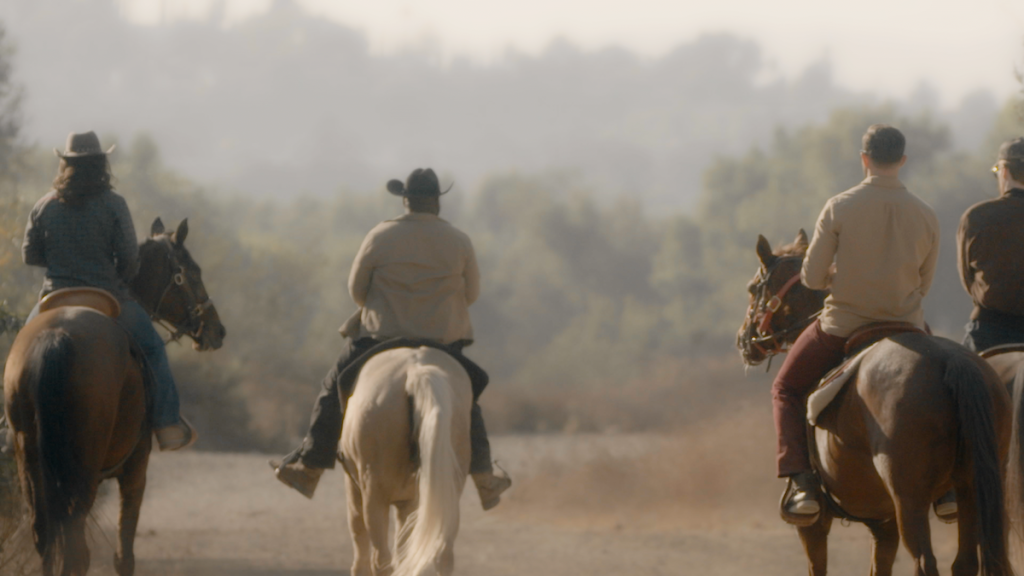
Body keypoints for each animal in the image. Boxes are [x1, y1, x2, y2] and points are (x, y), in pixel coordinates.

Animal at [3, 218, 225, 576]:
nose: (218, 330)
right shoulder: (136, 467)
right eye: (192, 272)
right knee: (76, 547)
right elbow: (124, 553)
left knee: (45, 536)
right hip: (83, 472)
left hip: (31, 463)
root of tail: (56, 337)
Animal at [339, 346, 472, 576]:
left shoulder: (354, 489)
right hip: (448, 492)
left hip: (374, 495)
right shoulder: (408, 503)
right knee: (442, 554)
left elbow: (361, 554)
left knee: (380, 559)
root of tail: (415, 372)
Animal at [735, 230, 1024, 576]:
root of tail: (952, 360)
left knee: (925, 562)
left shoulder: (814, 525)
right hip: (973, 490)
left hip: (909, 499)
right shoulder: (884, 523)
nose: (743, 339)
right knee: (964, 563)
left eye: (753, 288)